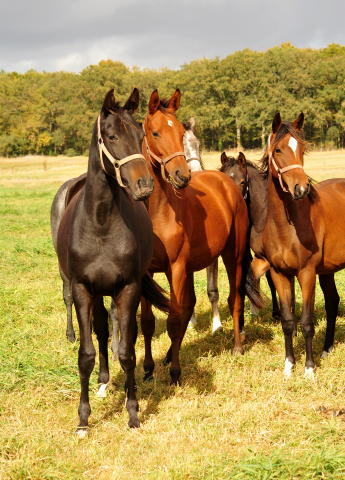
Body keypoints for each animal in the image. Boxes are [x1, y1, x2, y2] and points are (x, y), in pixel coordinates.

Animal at [53, 88, 169, 434]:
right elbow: (86, 354)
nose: (144, 185)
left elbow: (128, 352)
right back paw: (103, 382)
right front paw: (83, 419)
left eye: (142, 135)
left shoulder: (128, 288)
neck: (101, 223)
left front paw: (133, 412)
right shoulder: (82, 289)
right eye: (112, 136)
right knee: (102, 330)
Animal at [136, 88, 262, 384]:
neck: (159, 212)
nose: (182, 175)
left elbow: (174, 319)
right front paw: (148, 369)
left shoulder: (177, 268)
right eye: (155, 132)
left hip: (232, 256)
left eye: (182, 132)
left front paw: (175, 373)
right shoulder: (148, 273)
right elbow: (148, 323)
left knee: (235, 298)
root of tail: (227, 182)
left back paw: (237, 345)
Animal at [260, 113, 344, 378]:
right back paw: (326, 349)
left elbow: (306, 322)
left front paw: (309, 369)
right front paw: (289, 366)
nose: (301, 188)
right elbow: (288, 321)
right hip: (327, 270)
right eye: (278, 149)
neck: (286, 227)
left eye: (302, 149)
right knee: (332, 302)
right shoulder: (280, 274)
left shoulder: (306, 273)